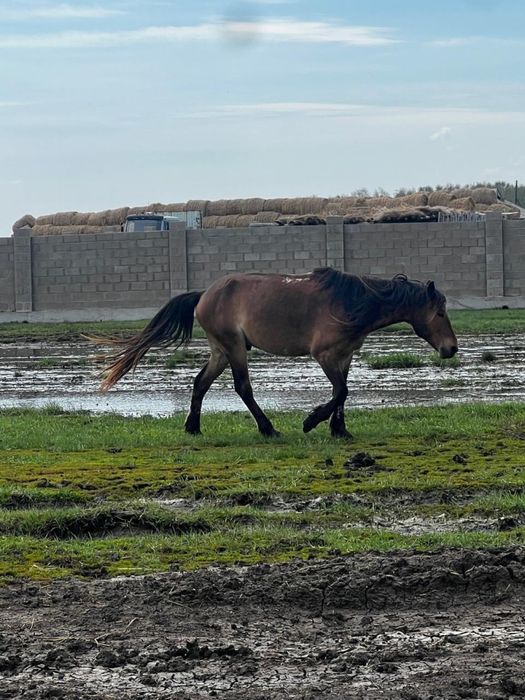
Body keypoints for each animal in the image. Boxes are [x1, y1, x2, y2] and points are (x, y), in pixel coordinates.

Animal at [95, 267, 458, 439]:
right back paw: (268, 428)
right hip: (234, 348)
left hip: (220, 351)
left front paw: (339, 430)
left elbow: (342, 394)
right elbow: (341, 391)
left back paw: (193, 427)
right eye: (440, 312)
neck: (353, 302)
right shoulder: (325, 356)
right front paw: (311, 421)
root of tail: (204, 295)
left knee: (200, 383)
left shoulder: (346, 356)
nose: (451, 349)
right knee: (243, 388)